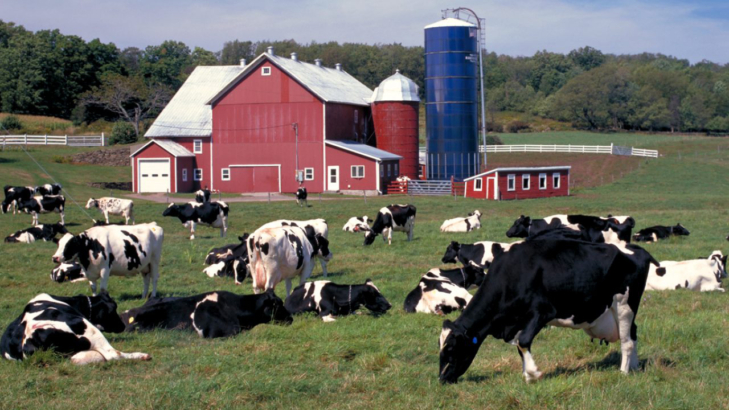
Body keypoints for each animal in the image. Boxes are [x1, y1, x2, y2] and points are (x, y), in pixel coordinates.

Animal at [436, 240, 656, 384]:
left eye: (451, 349)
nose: (441, 379)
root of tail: (636, 249)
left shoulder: (542, 312)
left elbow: (523, 342)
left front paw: (533, 373)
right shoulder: (520, 321)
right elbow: (520, 347)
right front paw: (526, 374)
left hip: (624, 305)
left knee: (626, 341)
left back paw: (624, 372)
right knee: (633, 333)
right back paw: (635, 366)